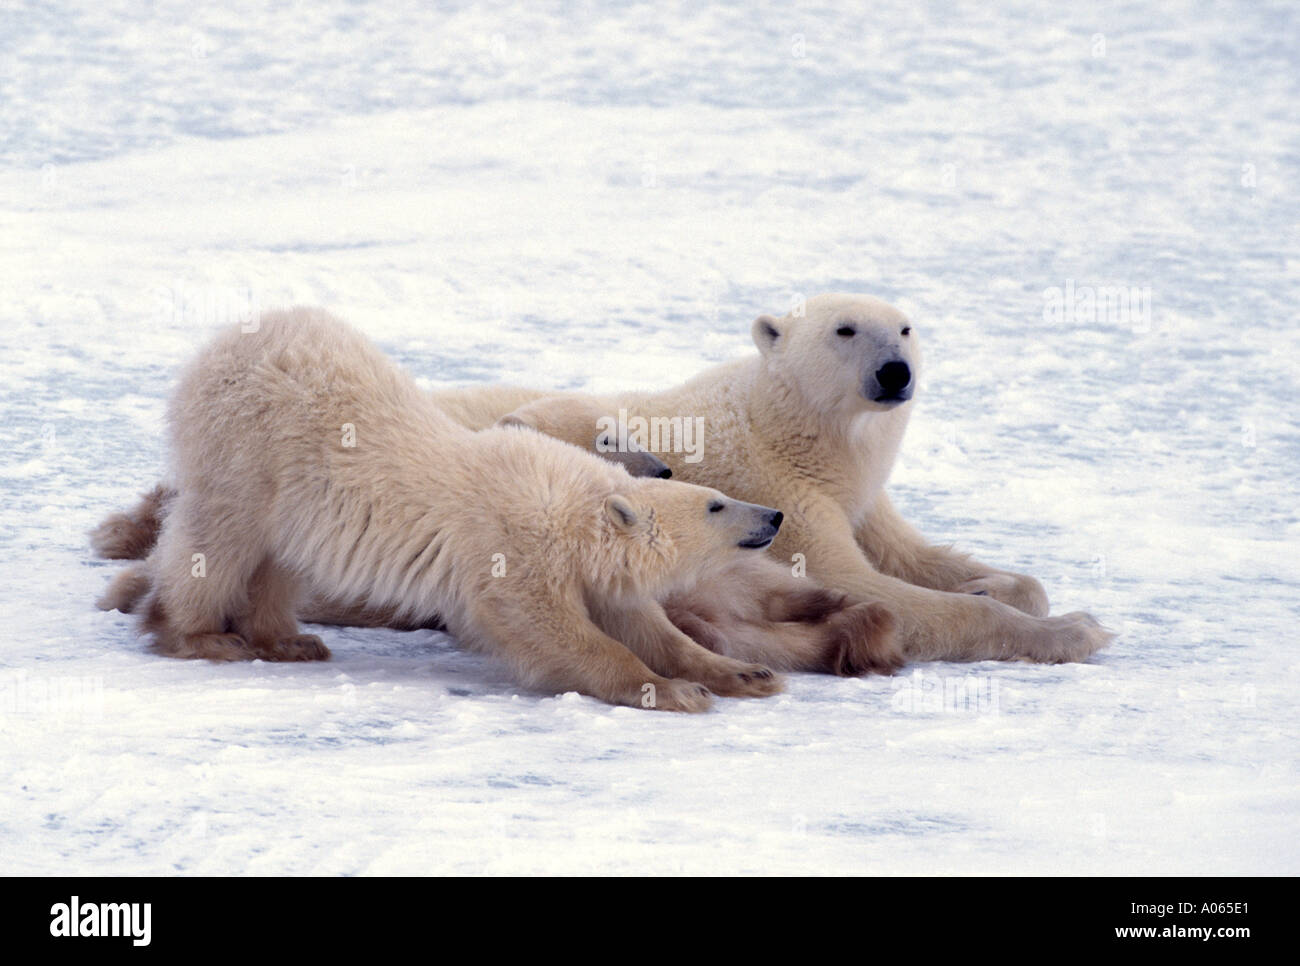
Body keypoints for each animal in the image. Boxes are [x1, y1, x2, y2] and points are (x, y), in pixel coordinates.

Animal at [118, 306, 842, 711]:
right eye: (716, 505)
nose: (772, 517)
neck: (559, 503)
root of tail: (227, 342)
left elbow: (644, 625)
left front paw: (743, 673)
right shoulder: (509, 549)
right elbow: (551, 629)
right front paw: (668, 693)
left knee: (281, 560)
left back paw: (290, 640)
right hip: (248, 454)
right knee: (217, 540)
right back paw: (198, 634)